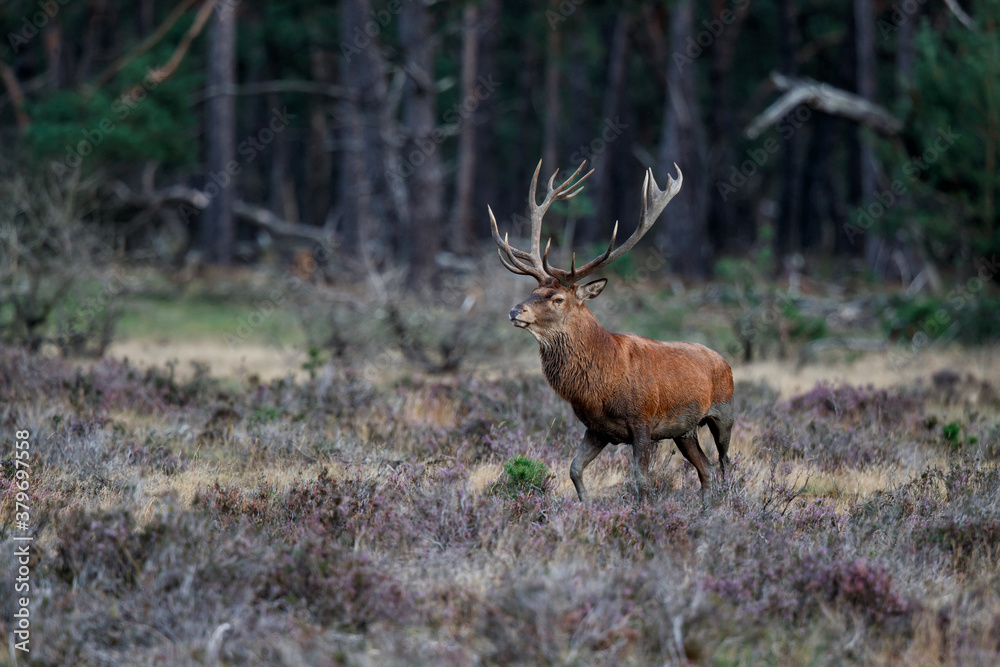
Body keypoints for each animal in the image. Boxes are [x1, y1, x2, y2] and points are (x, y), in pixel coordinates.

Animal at [489, 160, 734, 503]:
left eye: (557, 298)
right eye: (533, 290)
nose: (515, 311)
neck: (600, 383)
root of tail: (724, 361)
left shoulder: (643, 421)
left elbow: (641, 481)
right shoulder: (597, 427)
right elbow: (574, 469)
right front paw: (586, 506)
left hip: (724, 412)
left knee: (725, 463)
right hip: (684, 431)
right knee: (706, 468)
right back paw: (706, 508)